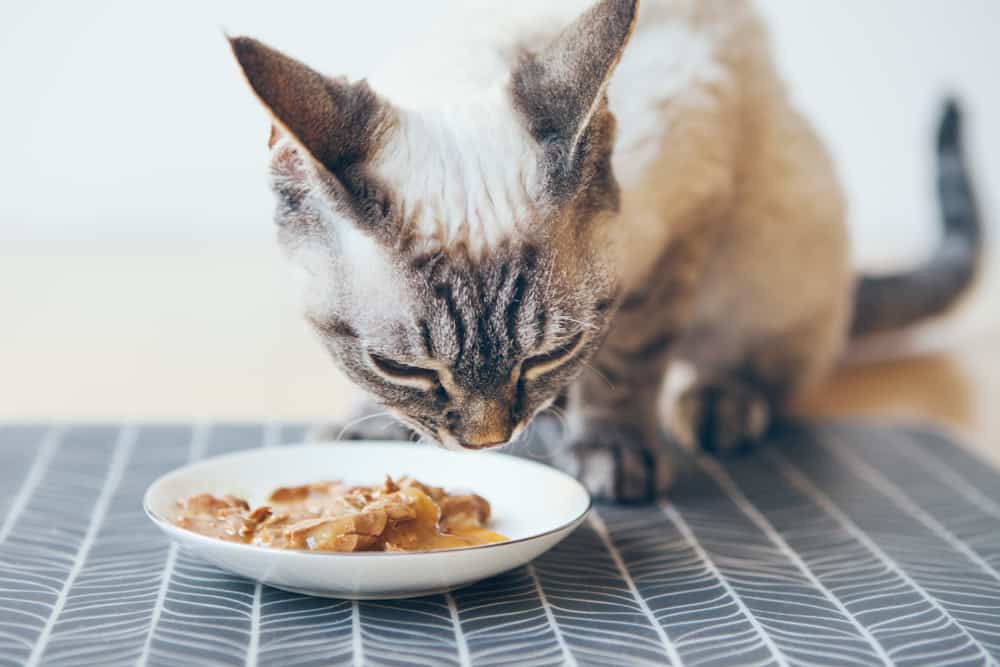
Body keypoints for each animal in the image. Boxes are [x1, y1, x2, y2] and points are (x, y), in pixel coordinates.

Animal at [229, 0, 984, 500]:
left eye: (549, 353)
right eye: (402, 367)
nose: (488, 444)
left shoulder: (682, 222)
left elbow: (626, 362)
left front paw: (613, 453)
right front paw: (369, 428)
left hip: (773, 251)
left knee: (776, 364)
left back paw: (718, 403)